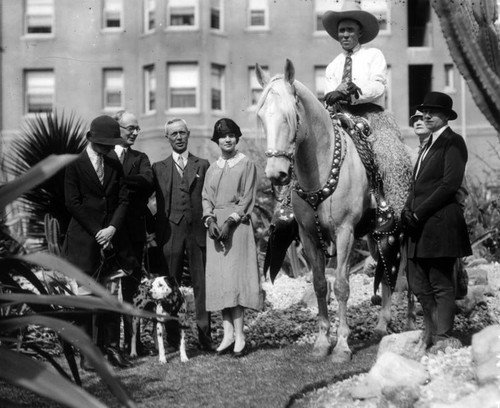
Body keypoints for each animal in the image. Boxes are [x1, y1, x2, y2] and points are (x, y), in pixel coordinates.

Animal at [256, 59, 412, 362]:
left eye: (289, 116)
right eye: (261, 117)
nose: (275, 174)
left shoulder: (345, 232)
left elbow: (341, 286)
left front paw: (341, 346)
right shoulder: (308, 237)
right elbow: (319, 284)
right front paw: (321, 342)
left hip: (396, 233)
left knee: (401, 270)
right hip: (372, 236)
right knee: (385, 268)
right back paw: (382, 324)